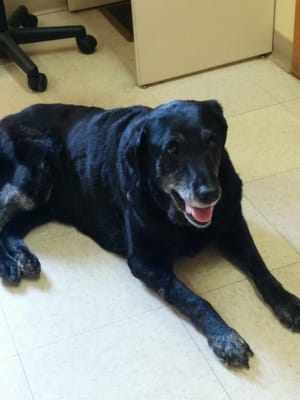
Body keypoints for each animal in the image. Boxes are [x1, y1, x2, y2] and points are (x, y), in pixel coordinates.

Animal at [0, 99, 300, 366]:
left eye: (211, 142)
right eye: (171, 150)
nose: (210, 194)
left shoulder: (233, 227)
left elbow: (260, 267)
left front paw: (287, 302)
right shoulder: (146, 262)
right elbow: (192, 298)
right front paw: (224, 336)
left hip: (46, 202)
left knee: (11, 227)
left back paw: (23, 258)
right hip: (33, 174)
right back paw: (8, 265)